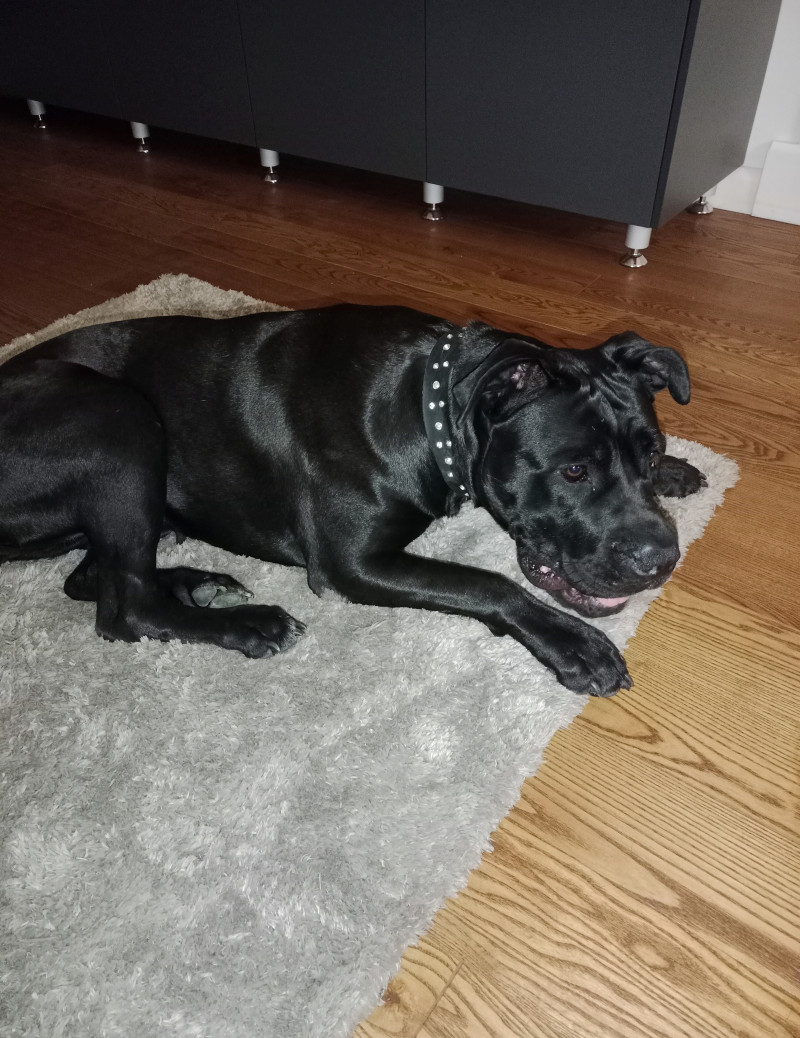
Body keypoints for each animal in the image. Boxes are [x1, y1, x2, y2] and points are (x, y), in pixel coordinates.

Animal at [0, 305, 705, 697]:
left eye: (647, 454)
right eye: (574, 470)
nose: (660, 560)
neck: (428, 406)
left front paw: (675, 472)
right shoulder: (352, 563)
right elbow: (487, 584)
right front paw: (573, 644)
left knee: (95, 580)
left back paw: (196, 582)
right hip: (118, 420)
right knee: (126, 610)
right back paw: (245, 623)